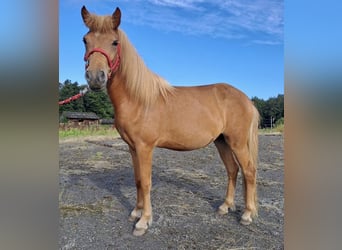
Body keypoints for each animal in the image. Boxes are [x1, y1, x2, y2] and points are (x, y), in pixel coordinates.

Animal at [81, 6, 260, 236]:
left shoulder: (145, 147)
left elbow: (146, 182)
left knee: (248, 171)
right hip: (222, 141)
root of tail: (246, 99)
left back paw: (247, 214)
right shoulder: (132, 148)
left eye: (114, 42)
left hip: (237, 142)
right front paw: (136, 212)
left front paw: (143, 221)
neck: (138, 99)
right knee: (232, 170)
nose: (95, 77)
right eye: (85, 40)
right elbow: (137, 180)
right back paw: (225, 207)